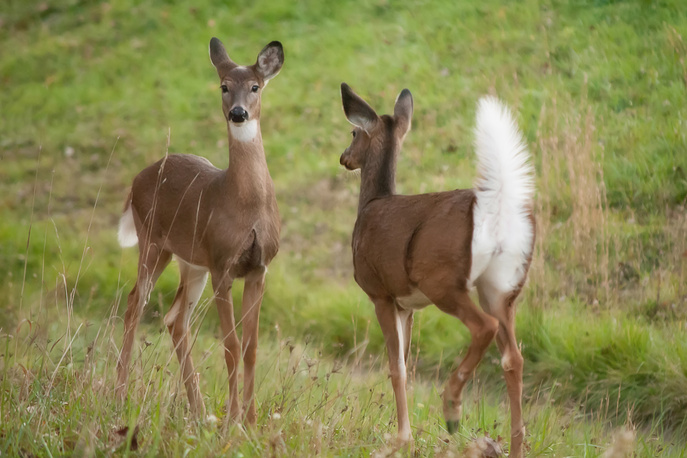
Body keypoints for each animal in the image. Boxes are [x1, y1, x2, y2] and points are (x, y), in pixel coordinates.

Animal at [117, 37, 284, 424]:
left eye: (255, 87)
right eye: (224, 86)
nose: (238, 113)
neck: (246, 205)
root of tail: (137, 179)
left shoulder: (258, 268)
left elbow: (252, 347)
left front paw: (251, 421)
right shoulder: (223, 264)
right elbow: (231, 345)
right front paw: (233, 421)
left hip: (192, 263)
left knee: (175, 320)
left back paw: (198, 410)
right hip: (153, 242)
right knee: (135, 304)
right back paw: (119, 393)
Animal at [342, 83, 536, 458]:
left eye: (353, 132)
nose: (343, 157)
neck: (371, 203)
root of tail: (497, 211)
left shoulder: (381, 293)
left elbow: (397, 368)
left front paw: (402, 439)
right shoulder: (407, 304)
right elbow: (405, 363)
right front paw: (404, 434)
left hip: (443, 281)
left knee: (484, 327)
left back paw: (451, 407)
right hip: (501, 288)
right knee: (514, 358)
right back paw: (514, 445)